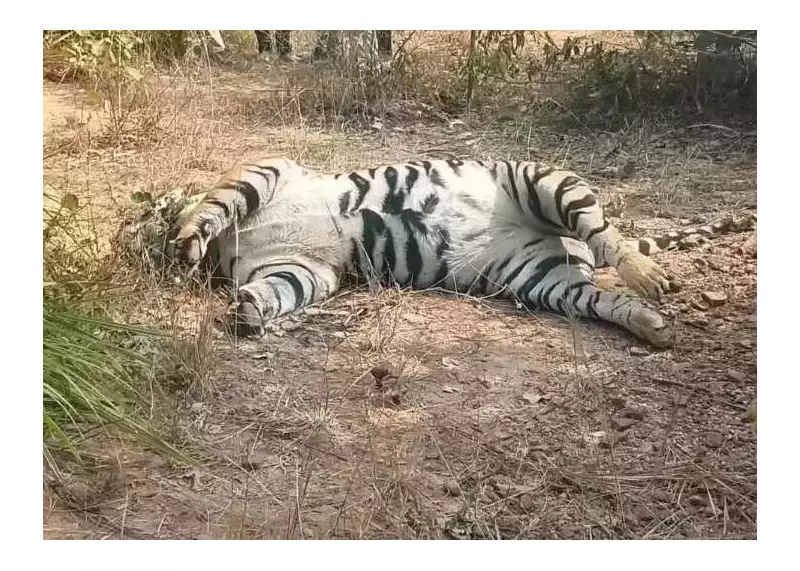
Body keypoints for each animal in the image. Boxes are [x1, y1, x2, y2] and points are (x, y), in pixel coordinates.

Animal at [124, 157, 755, 348]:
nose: (130, 232)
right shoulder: (301, 268)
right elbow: (279, 291)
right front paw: (250, 310)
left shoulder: (266, 168)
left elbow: (217, 204)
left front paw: (189, 238)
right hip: (543, 278)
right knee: (600, 297)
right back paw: (654, 325)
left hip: (541, 180)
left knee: (609, 234)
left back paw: (648, 275)